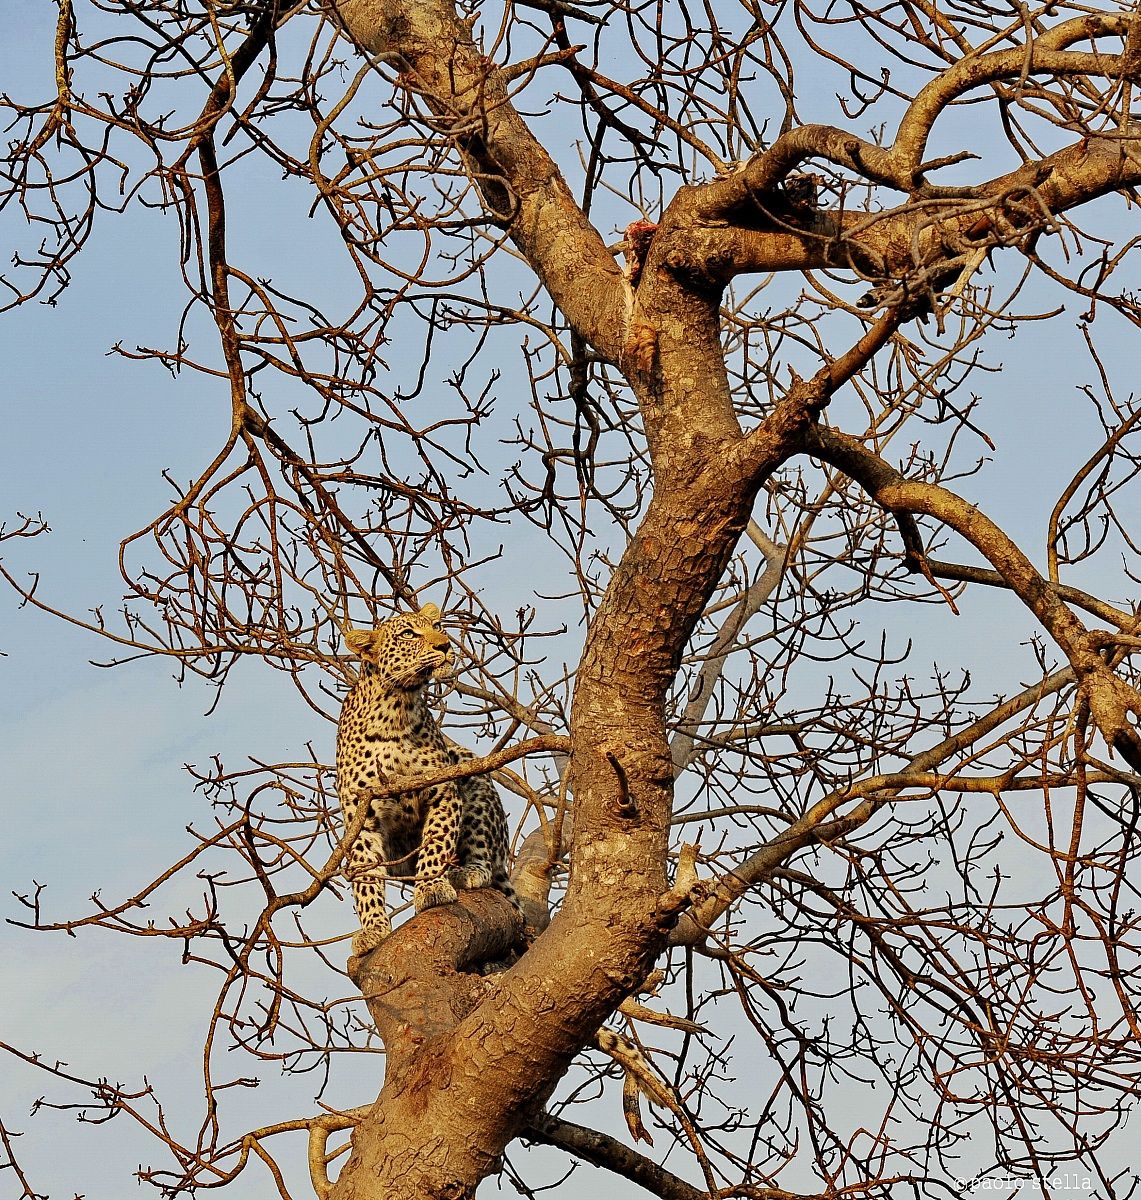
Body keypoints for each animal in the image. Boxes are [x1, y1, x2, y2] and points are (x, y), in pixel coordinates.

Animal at [336, 603, 515, 955]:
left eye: (437, 627)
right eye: (409, 634)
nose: (445, 645)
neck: (396, 709)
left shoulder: (443, 790)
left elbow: (437, 841)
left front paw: (432, 887)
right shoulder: (361, 814)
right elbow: (366, 877)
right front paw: (373, 928)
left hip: (474, 779)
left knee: (485, 855)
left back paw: (468, 872)